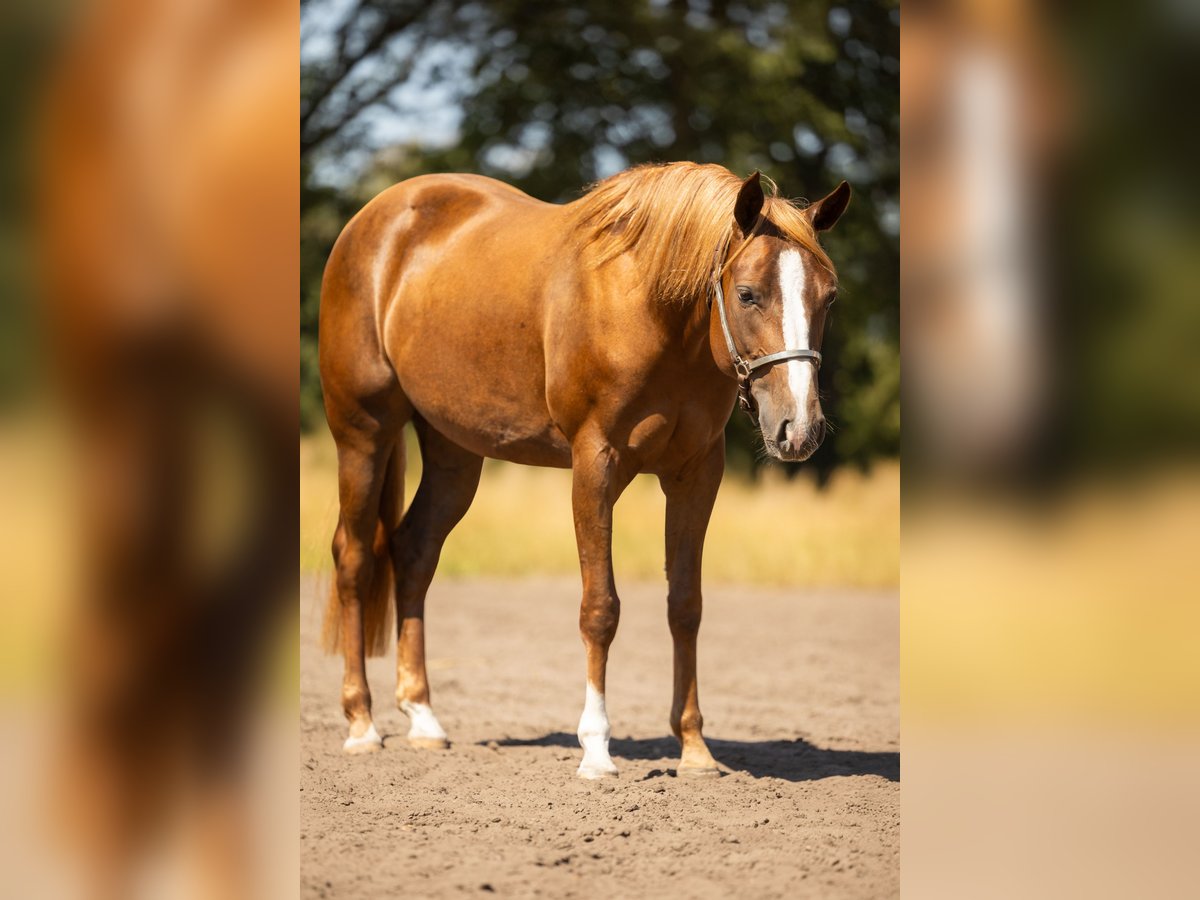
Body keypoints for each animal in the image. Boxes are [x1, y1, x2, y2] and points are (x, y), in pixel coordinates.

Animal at [319, 161, 850, 777]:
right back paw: (361, 724)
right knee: (354, 558)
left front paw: (694, 748)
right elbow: (601, 608)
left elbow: (685, 606)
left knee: (414, 551)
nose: (799, 428)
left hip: (454, 451)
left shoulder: (697, 474)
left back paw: (424, 718)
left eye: (829, 298)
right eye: (747, 294)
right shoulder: (594, 464)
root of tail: (373, 219)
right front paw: (596, 749)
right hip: (363, 432)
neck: (650, 309)